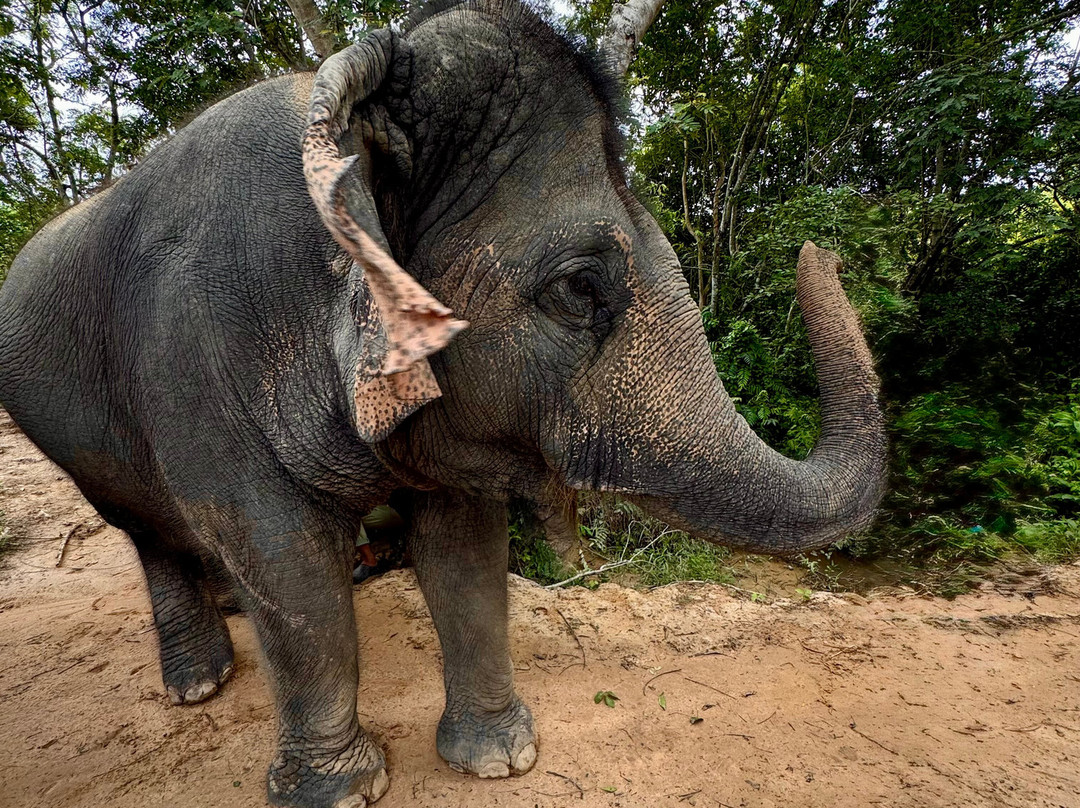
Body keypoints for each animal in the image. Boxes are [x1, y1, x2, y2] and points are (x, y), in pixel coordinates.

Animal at [0, 1, 886, 806]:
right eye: (581, 288)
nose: (824, 247)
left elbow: (465, 547)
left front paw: (499, 760)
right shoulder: (196, 358)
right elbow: (286, 566)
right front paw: (341, 794)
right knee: (147, 529)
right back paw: (200, 684)